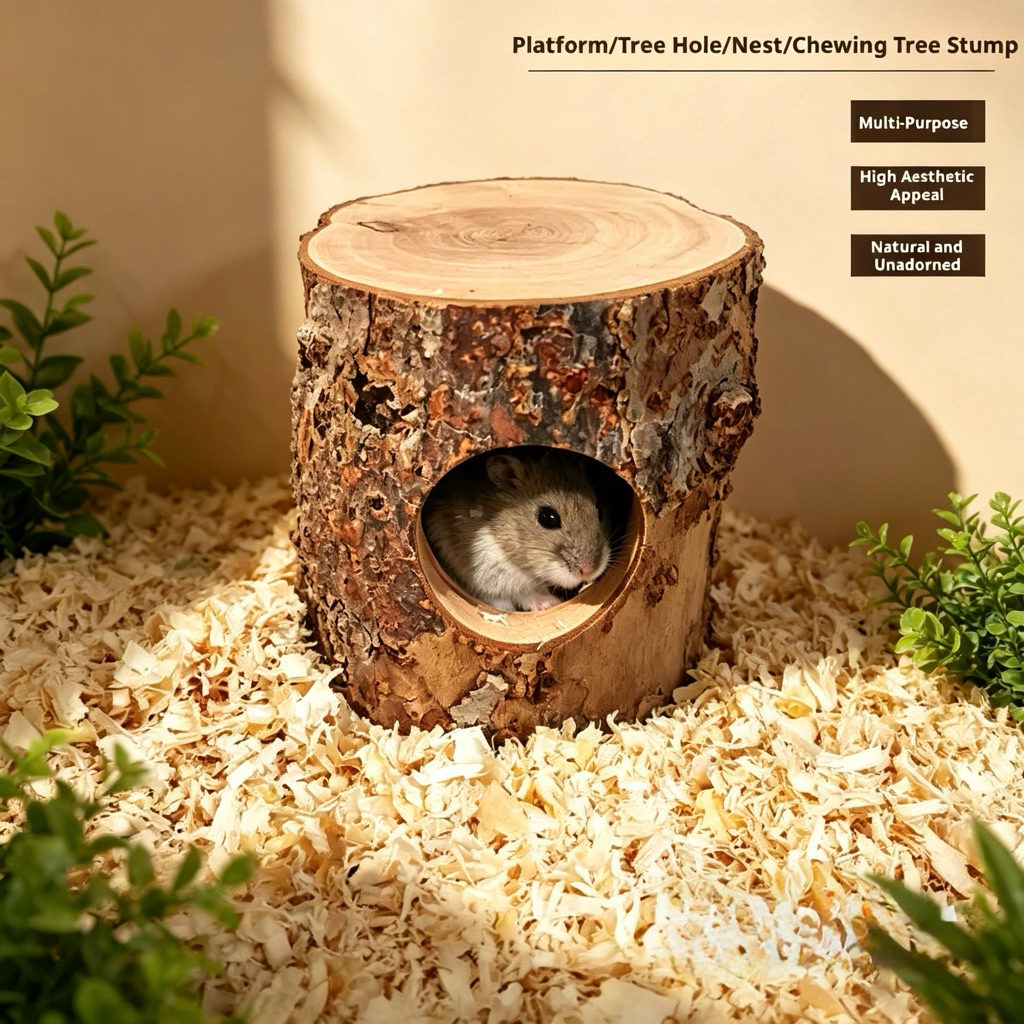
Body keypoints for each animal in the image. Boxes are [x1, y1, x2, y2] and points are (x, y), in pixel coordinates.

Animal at [423, 449, 612, 612]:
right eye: (547, 518)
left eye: (599, 510)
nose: (589, 571)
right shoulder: (486, 576)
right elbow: (520, 594)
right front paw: (551, 602)